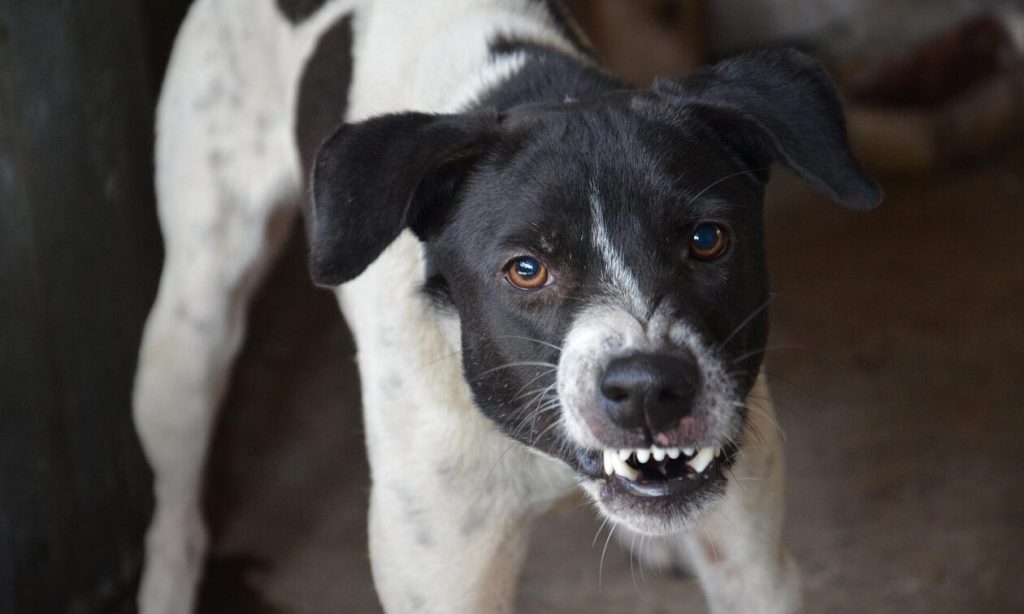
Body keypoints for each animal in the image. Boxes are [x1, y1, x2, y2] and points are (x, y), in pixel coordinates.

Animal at [130, 0, 880, 609]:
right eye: (525, 270)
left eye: (706, 239)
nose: (649, 389)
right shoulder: (445, 580)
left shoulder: (753, 567)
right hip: (191, 328)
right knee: (175, 510)